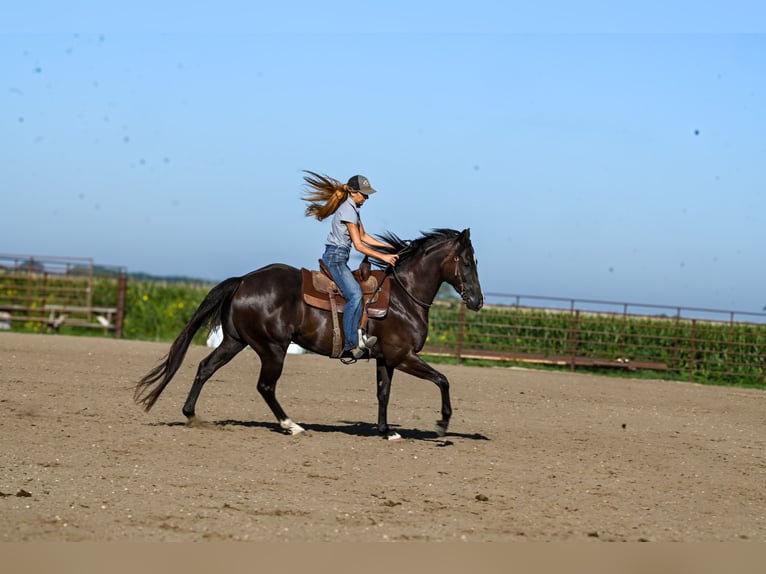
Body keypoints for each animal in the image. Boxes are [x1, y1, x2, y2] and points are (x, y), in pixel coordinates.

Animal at [133, 228, 484, 440]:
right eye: (467, 261)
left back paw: (191, 415)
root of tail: (244, 280)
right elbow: (443, 380)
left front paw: (386, 431)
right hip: (272, 348)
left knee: (205, 368)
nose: (478, 302)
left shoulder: (386, 358)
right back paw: (292, 426)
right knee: (265, 386)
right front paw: (442, 424)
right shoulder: (404, 356)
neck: (403, 296)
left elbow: (383, 393)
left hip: (235, 342)